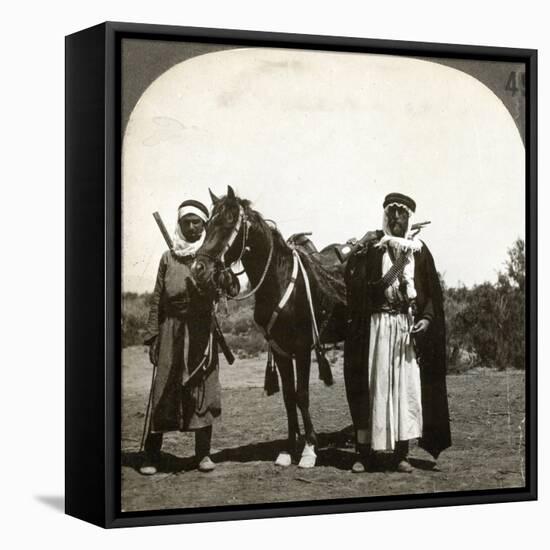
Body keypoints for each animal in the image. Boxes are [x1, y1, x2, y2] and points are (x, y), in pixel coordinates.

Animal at [194, 187, 348, 470]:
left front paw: (309, 450)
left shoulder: (302, 348)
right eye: (207, 225)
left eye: (229, 223)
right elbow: (288, 397)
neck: (280, 279)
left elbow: (302, 394)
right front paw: (288, 450)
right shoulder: (280, 350)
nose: (198, 269)